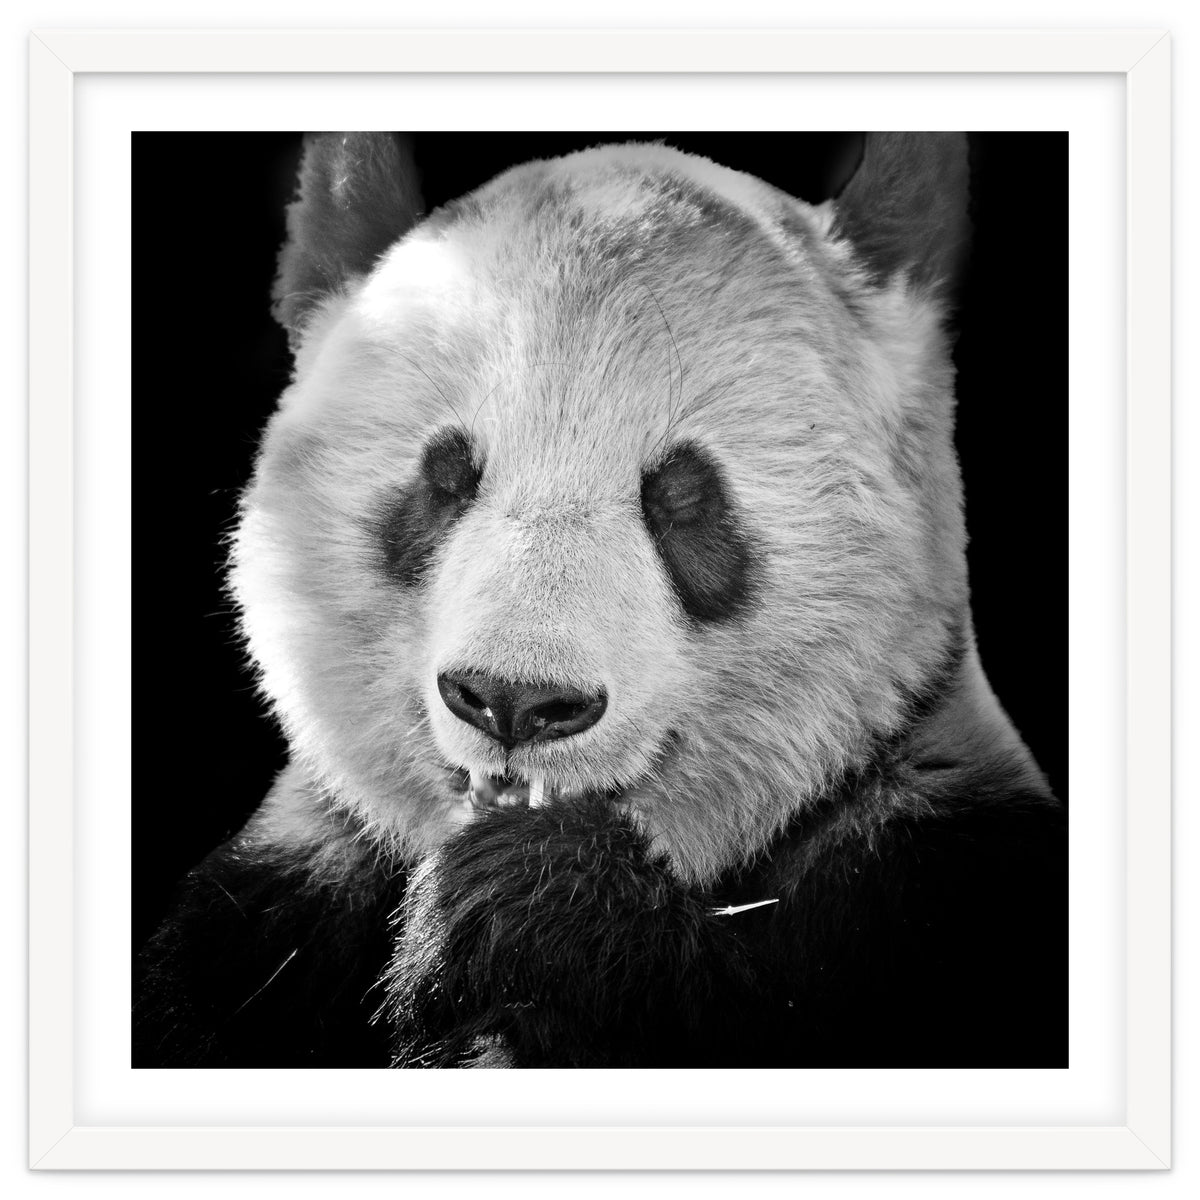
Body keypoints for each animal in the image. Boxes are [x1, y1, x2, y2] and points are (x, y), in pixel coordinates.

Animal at [134, 132, 1066, 1069]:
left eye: (683, 497)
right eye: (445, 477)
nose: (515, 701)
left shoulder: (934, 877)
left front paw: (532, 904)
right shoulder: (269, 913)